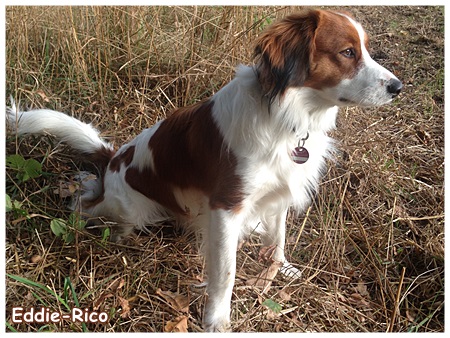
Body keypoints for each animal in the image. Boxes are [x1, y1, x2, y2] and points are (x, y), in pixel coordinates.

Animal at [7, 9, 400, 332]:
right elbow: (225, 273)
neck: (285, 116)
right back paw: (87, 221)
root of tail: (114, 157)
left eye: (365, 50)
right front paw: (217, 319)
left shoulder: (276, 192)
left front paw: (281, 268)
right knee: (86, 205)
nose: (398, 87)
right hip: (129, 208)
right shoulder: (227, 205)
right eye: (347, 52)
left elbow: (278, 236)